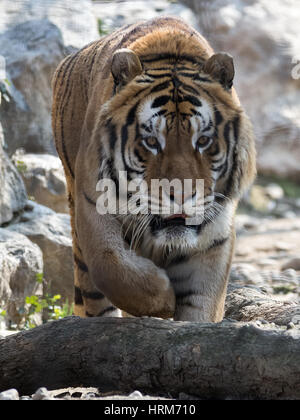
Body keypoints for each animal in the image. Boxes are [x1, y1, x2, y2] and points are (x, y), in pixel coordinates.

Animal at [52, 15, 255, 322]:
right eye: (151, 141)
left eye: (203, 140)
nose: (181, 196)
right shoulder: (93, 206)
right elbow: (114, 268)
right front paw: (164, 300)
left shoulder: (215, 235)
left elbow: (202, 307)